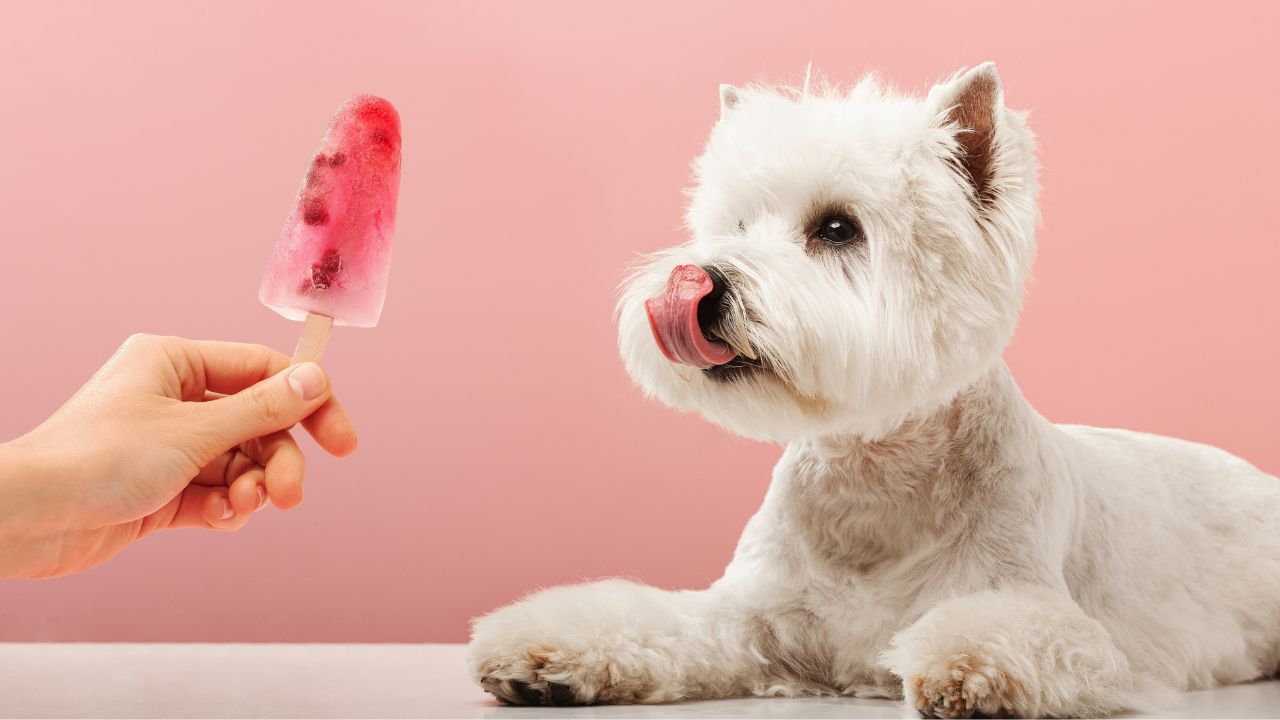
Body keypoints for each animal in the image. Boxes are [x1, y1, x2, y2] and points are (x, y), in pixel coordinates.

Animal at [468, 64, 1280, 712]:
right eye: (736, 222)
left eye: (836, 228)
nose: (699, 282)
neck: (872, 482)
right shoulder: (747, 615)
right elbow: (654, 620)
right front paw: (540, 654)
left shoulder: (1040, 608)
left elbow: (1008, 634)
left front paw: (966, 671)